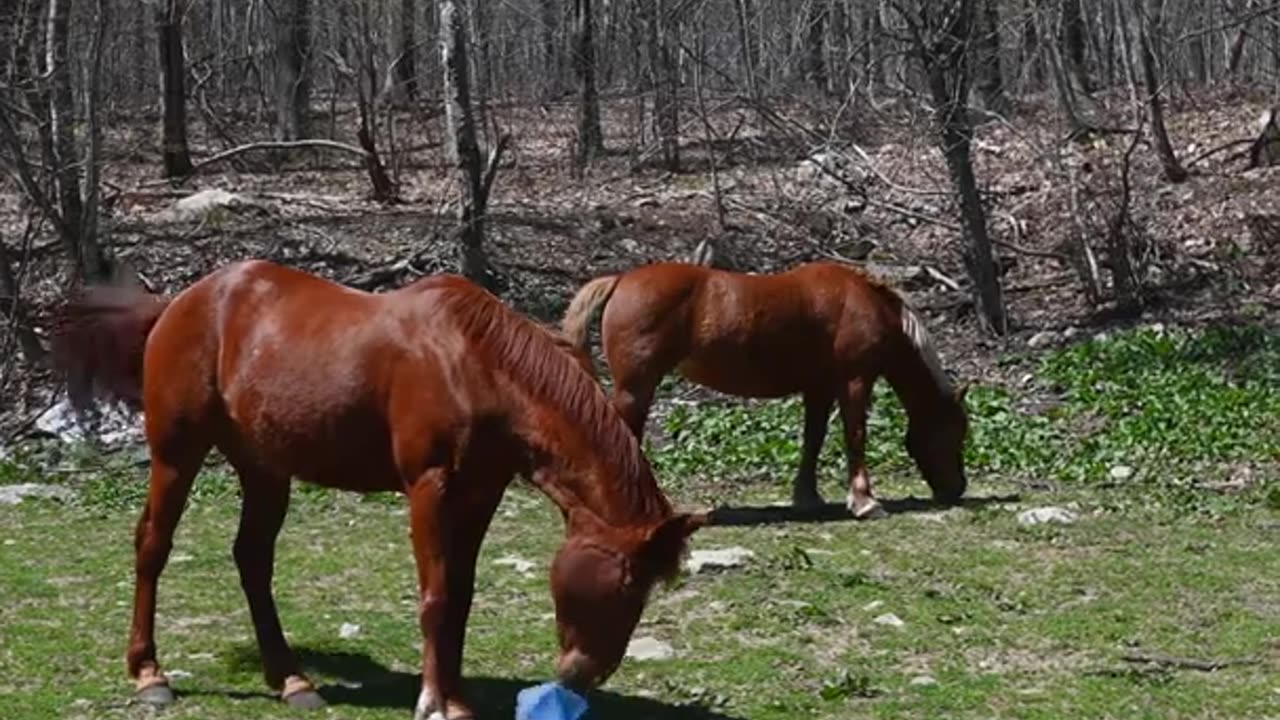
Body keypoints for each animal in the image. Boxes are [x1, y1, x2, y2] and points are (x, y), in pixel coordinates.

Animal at [55, 258, 706, 717]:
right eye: (625, 583)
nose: (582, 676)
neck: (478, 364)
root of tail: (180, 303)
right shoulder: (429, 487)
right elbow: (435, 597)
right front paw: (435, 702)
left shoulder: (481, 493)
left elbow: (461, 595)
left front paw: (457, 696)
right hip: (176, 455)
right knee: (153, 546)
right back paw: (149, 673)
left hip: (265, 468)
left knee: (252, 560)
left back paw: (291, 679)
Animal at [560, 257, 967, 515]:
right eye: (955, 433)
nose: (957, 489)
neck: (864, 302)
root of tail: (620, 280)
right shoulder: (854, 381)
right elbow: (855, 435)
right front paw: (865, 501)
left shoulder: (819, 387)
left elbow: (813, 438)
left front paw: (807, 497)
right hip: (635, 388)